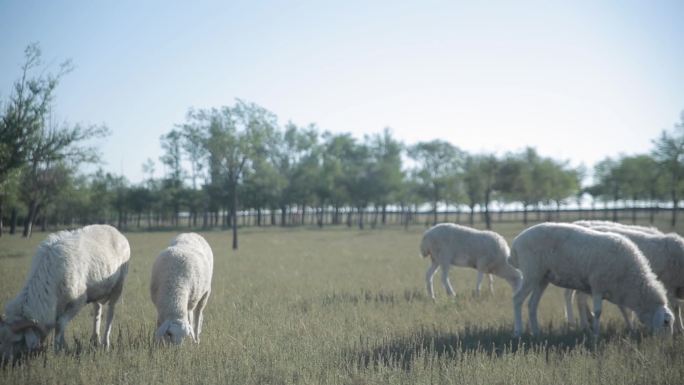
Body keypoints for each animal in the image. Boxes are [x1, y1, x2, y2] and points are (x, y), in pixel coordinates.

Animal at [0, 222, 130, 360]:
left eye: (16, 341)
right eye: (1, 340)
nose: (5, 360)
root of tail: (115, 230)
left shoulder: (77, 302)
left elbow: (60, 324)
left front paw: (57, 351)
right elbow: (60, 326)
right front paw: (63, 347)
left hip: (118, 286)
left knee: (111, 312)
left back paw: (105, 343)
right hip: (98, 291)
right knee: (97, 311)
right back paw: (95, 340)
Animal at [508, 222, 672, 336]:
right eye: (666, 322)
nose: (665, 343)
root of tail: (516, 242)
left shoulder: (618, 290)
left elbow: (625, 311)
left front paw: (631, 330)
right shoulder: (597, 286)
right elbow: (598, 311)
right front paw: (596, 334)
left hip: (542, 278)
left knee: (532, 304)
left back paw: (536, 333)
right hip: (531, 273)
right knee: (517, 299)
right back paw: (518, 332)